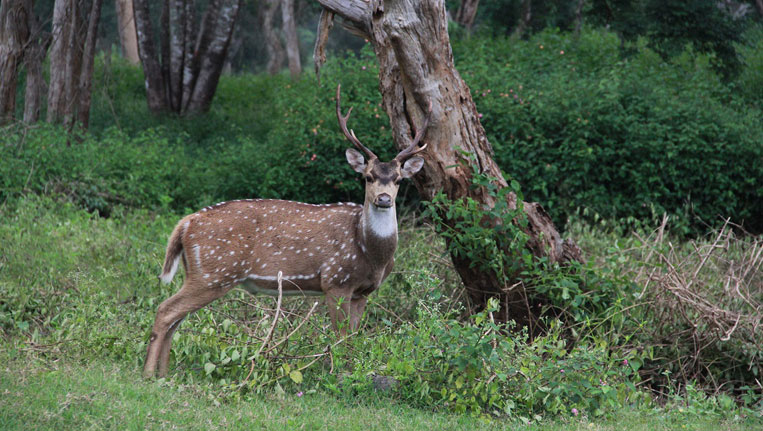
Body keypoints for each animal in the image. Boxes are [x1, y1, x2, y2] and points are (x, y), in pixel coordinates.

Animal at [143, 84, 430, 378]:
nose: (384, 199)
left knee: (175, 319)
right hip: (214, 272)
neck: (370, 253)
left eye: (398, 179)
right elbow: (339, 337)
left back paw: (164, 374)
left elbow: (352, 336)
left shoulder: (363, 291)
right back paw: (148, 374)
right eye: (368, 177)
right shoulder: (335, 280)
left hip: (198, 272)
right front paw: (339, 374)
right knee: (165, 311)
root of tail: (185, 223)